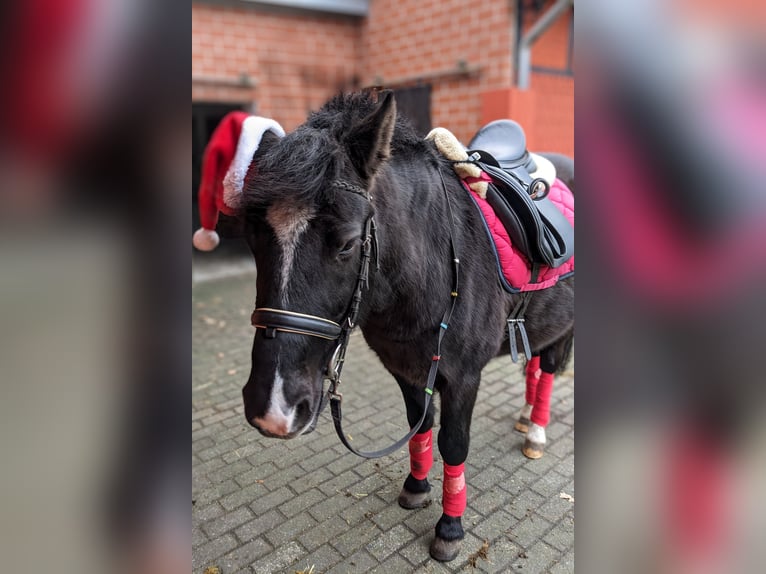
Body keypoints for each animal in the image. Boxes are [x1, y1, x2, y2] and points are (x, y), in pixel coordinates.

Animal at [238, 90, 574, 561]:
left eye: (347, 244)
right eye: (253, 238)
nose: (273, 408)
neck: (431, 262)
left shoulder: (464, 377)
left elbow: (454, 443)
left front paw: (450, 527)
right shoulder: (405, 367)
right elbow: (421, 423)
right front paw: (416, 487)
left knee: (546, 370)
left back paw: (537, 432)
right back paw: (526, 418)